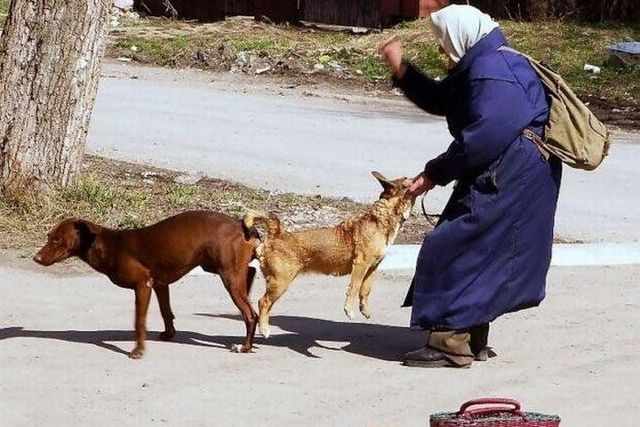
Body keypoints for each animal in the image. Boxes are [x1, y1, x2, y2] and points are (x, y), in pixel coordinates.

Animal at [34, 212, 260, 360]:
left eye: (57, 239)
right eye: (49, 237)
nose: (36, 258)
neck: (107, 245)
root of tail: (241, 225)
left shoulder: (143, 285)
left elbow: (139, 321)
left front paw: (138, 350)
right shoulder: (159, 284)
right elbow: (166, 312)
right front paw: (169, 334)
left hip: (228, 276)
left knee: (251, 314)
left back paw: (245, 347)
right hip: (218, 267)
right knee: (250, 272)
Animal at [242, 172, 418, 340]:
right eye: (406, 179)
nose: (420, 175)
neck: (381, 219)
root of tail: (278, 234)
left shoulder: (372, 268)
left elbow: (365, 291)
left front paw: (364, 310)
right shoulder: (361, 265)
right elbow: (354, 288)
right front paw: (349, 310)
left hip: (278, 283)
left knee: (267, 305)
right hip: (280, 282)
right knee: (263, 302)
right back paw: (264, 330)